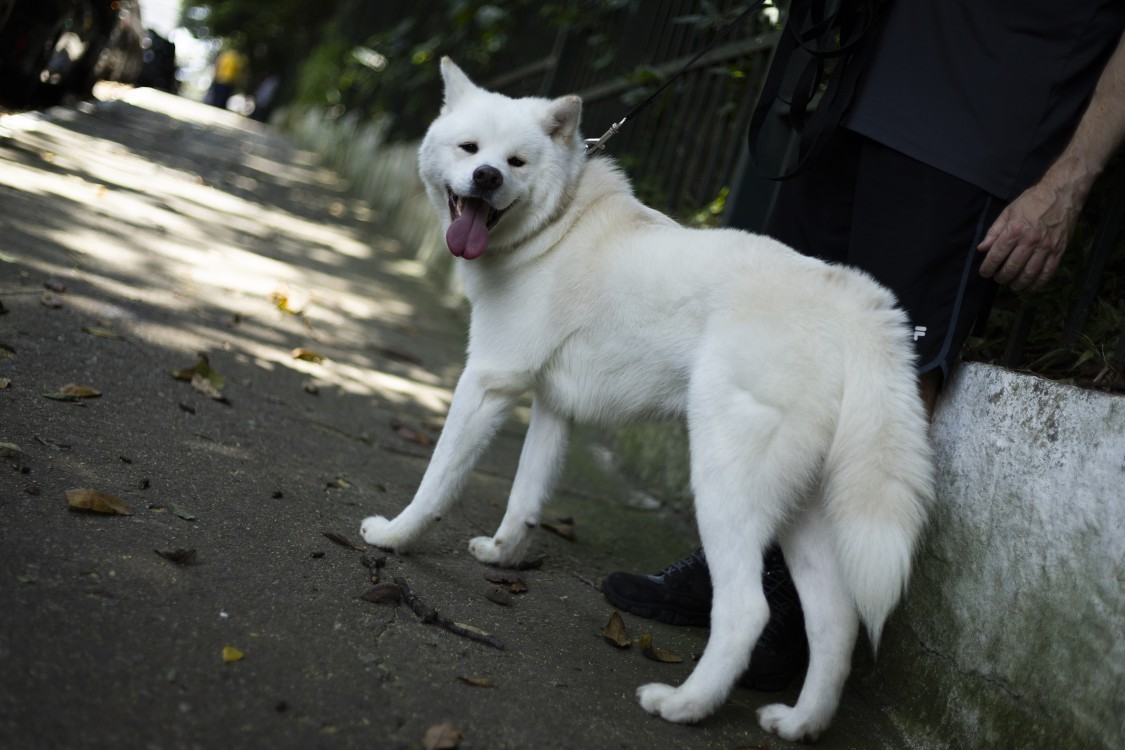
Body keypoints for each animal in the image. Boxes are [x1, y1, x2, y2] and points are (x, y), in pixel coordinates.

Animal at [360, 58, 931, 746]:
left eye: (515, 162)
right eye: (470, 149)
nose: (487, 177)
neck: (558, 225)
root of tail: (855, 303)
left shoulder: (487, 382)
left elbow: (437, 482)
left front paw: (395, 538)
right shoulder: (554, 407)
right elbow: (525, 498)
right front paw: (502, 554)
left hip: (723, 485)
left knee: (747, 610)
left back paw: (686, 705)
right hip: (803, 514)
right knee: (835, 622)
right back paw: (800, 722)